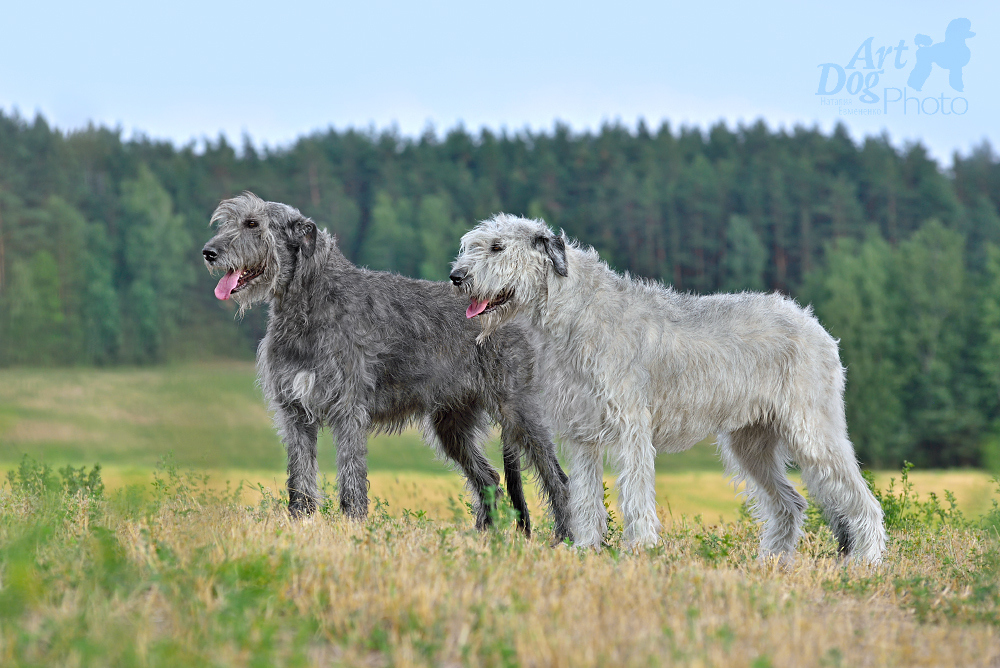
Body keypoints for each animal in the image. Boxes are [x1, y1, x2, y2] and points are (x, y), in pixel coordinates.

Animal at [201, 192, 572, 536]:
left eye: (253, 224)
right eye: (228, 222)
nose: (209, 252)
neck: (310, 300)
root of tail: (509, 305)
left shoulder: (348, 409)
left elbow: (351, 474)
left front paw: (352, 525)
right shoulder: (295, 410)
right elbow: (300, 476)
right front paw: (300, 524)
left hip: (517, 409)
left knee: (557, 477)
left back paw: (565, 538)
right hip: (452, 422)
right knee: (490, 478)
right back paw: (483, 538)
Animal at [450, 215, 888, 564]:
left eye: (497, 246)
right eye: (470, 245)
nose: (457, 277)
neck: (574, 311)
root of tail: (816, 326)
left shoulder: (631, 425)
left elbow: (635, 492)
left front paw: (640, 549)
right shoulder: (583, 431)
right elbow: (585, 496)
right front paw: (586, 549)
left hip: (813, 431)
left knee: (862, 500)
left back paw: (866, 562)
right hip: (751, 443)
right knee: (790, 504)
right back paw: (772, 562)